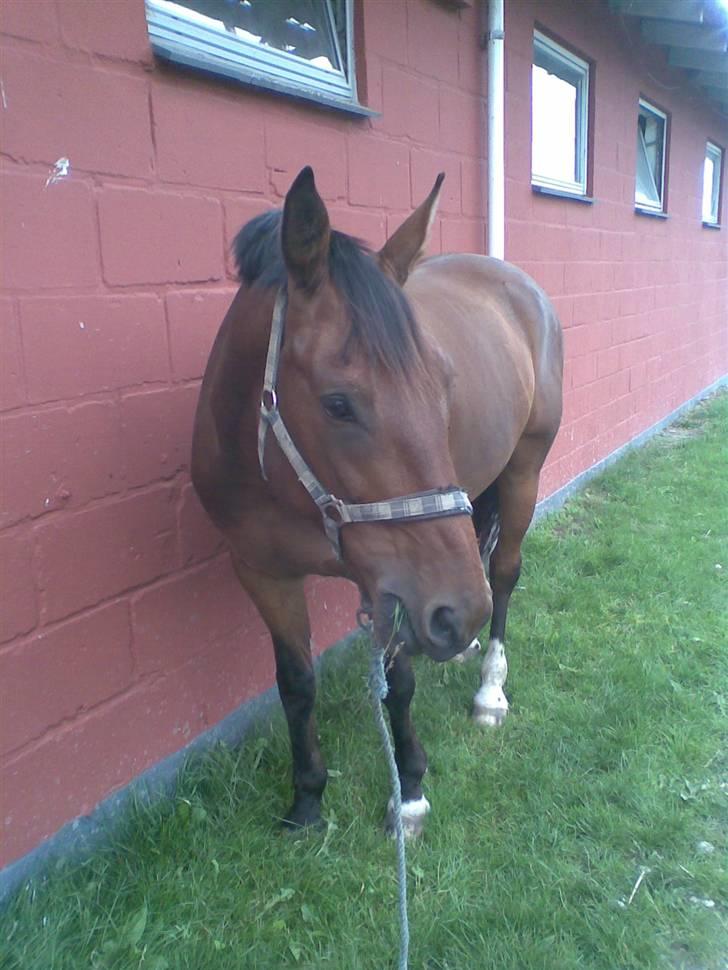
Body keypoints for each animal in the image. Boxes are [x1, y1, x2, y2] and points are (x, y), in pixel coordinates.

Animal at [193, 166, 564, 832]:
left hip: (524, 470)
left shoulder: (393, 579)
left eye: (444, 385)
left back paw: (489, 687)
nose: (455, 613)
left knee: (503, 573)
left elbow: (399, 676)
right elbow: (296, 682)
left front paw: (409, 788)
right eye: (338, 403)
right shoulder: (262, 571)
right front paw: (307, 799)